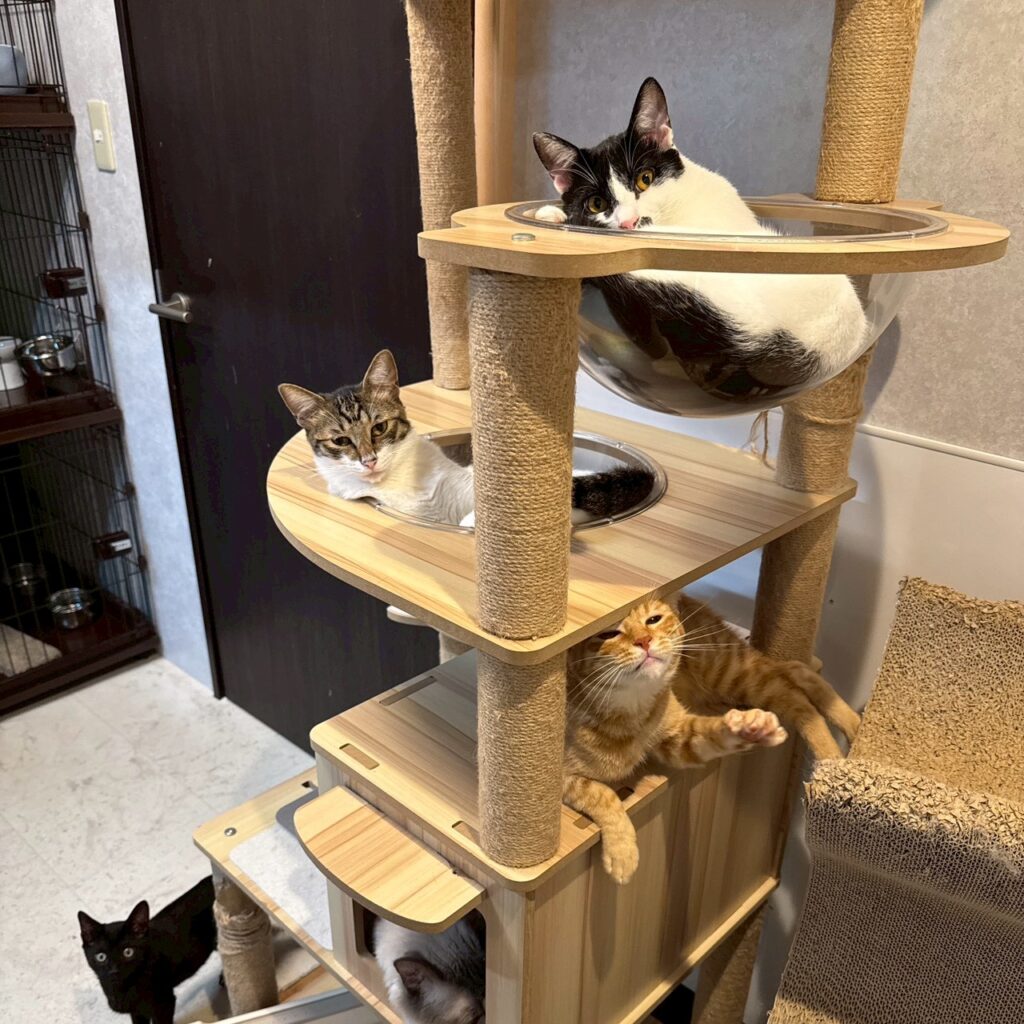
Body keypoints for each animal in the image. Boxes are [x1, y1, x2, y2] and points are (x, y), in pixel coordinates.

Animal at [78, 876, 217, 1024]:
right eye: (101, 956)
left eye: (128, 952)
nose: (114, 970)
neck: (122, 988)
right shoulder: (137, 1012)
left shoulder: (164, 1003)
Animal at [565, 593, 859, 884]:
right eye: (609, 634)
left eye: (653, 620)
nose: (644, 640)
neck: (633, 712)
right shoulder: (565, 781)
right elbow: (603, 794)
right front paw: (623, 852)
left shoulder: (680, 733)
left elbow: (715, 731)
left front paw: (749, 727)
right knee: (795, 673)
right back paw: (850, 734)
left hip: (734, 674)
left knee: (797, 695)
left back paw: (836, 753)